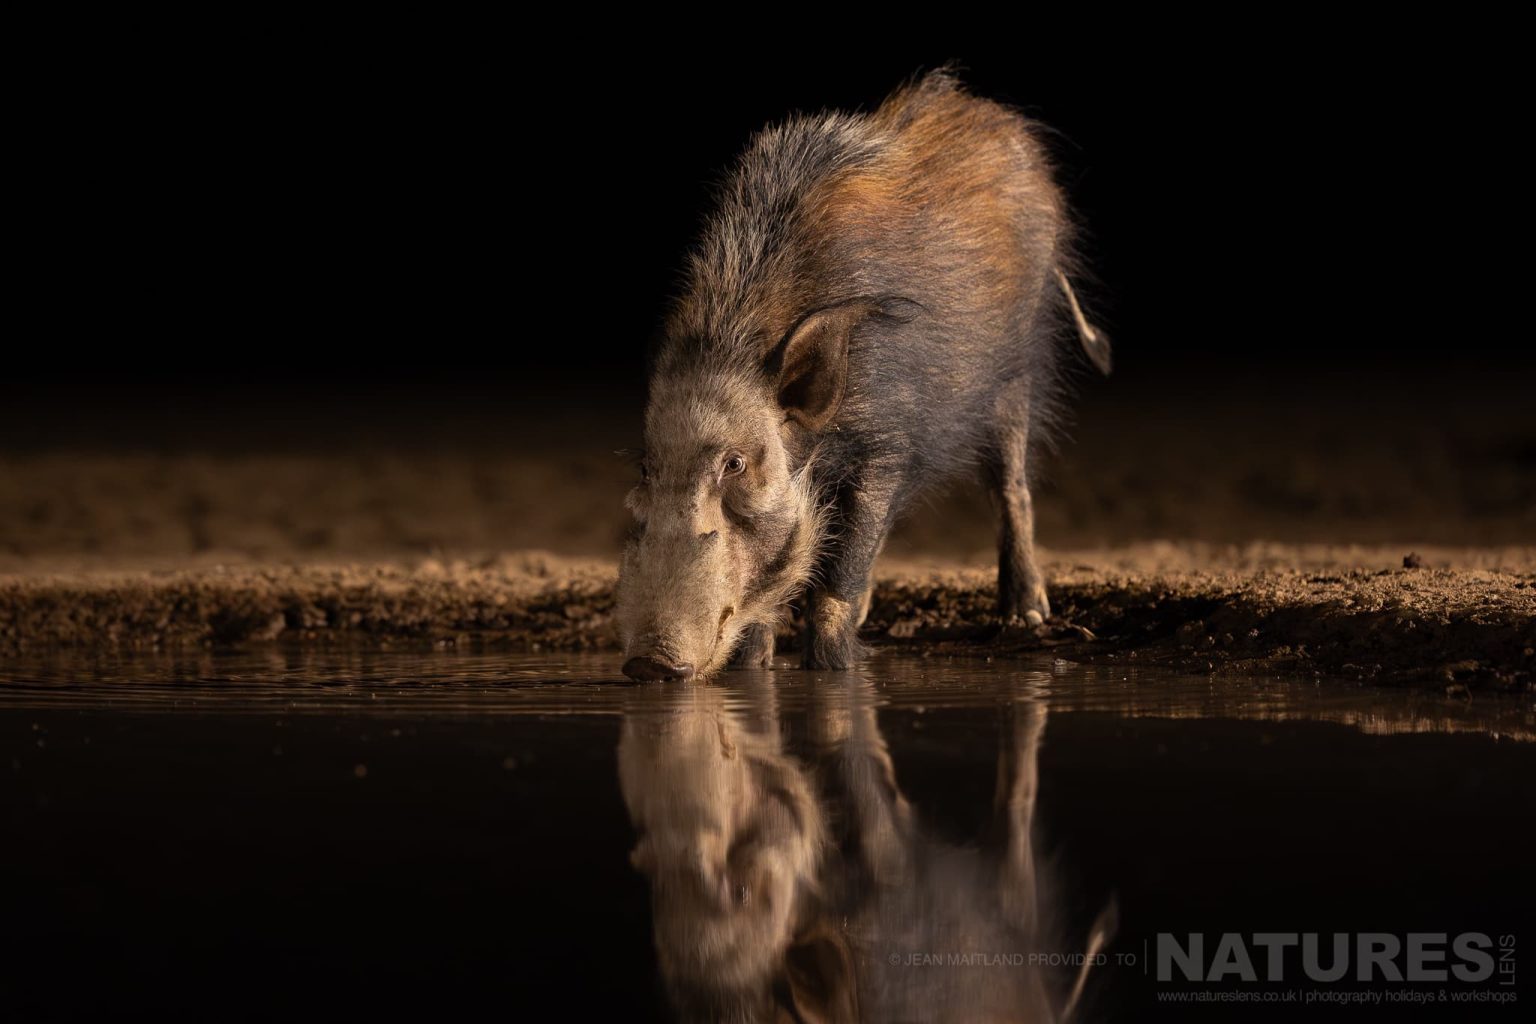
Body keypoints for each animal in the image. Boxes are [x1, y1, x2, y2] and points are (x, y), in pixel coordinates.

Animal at [616, 65, 1110, 682]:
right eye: (646, 466)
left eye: (735, 463)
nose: (648, 664)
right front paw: (754, 674)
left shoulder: (886, 445)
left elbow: (838, 578)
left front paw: (837, 671)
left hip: (1015, 375)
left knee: (1011, 485)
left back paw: (1029, 617)